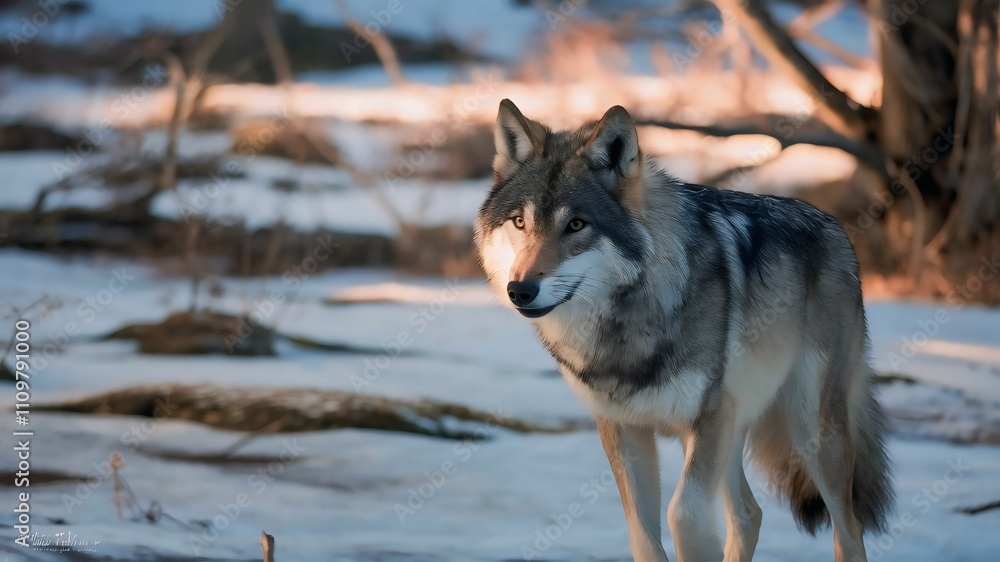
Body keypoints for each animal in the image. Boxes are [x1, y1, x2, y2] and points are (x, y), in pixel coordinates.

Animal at [475, 100, 892, 562]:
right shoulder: (624, 429)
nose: (521, 290)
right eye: (519, 222)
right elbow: (643, 535)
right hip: (740, 425)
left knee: (848, 529)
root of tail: (836, 228)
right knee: (749, 515)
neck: (629, 322)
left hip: (810, 429)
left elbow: (684, 514)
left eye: (577, 225)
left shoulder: (708, 420)